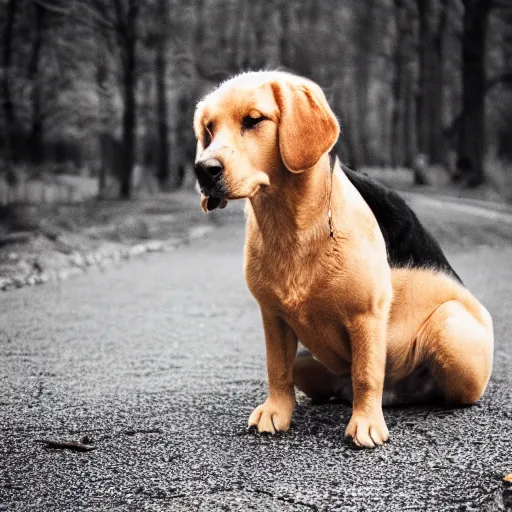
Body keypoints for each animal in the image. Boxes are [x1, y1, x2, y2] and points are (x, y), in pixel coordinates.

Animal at [192, 71, 492, 448]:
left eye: (253, 120)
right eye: (208, 129)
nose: (203, 170)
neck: (291, 226)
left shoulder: (366, 315)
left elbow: (366, 374)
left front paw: (365, 424)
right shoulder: (273, 316)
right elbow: (277, 369)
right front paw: (276, 412)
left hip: (450, 329)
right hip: (307, 361)